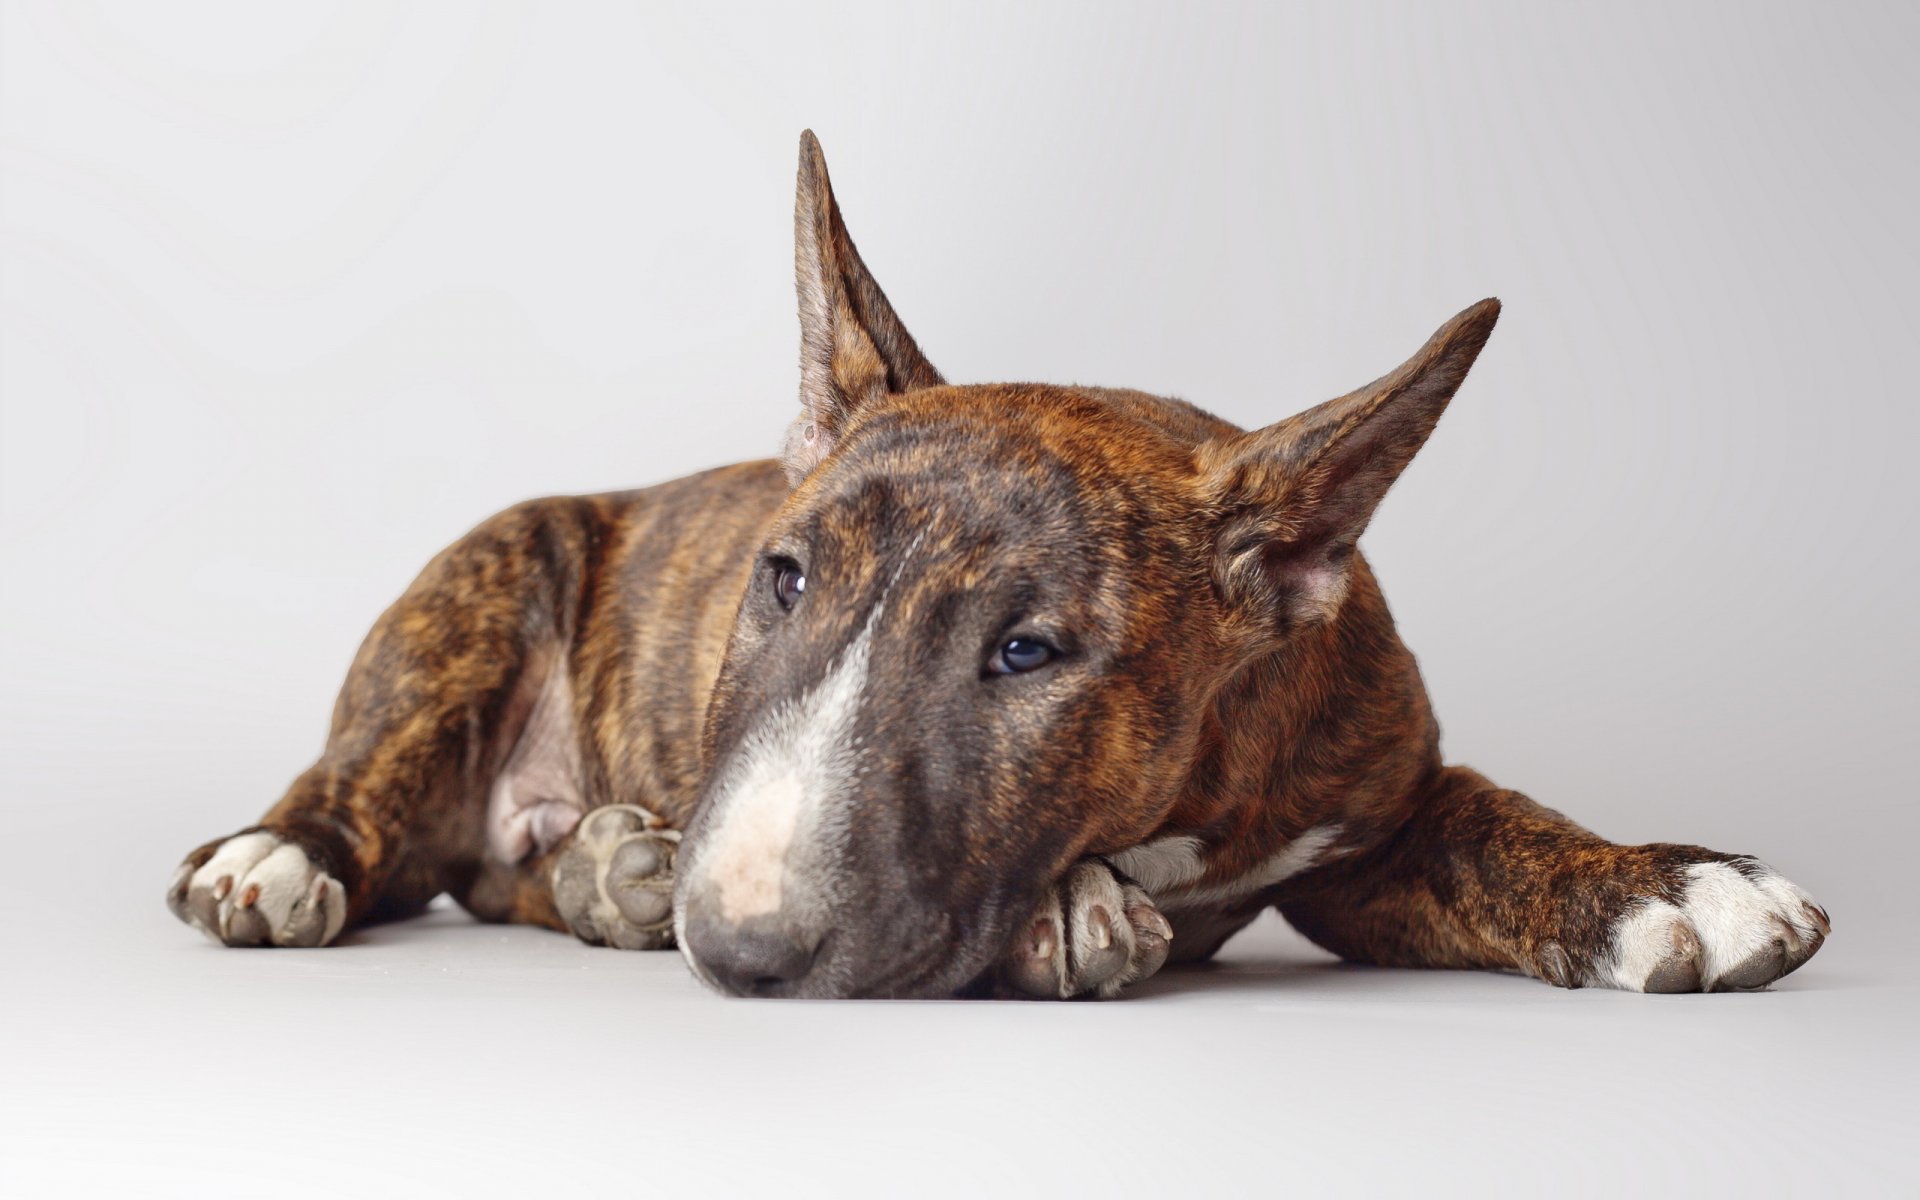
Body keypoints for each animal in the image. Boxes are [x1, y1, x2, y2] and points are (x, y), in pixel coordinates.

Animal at [165, 130, 1827, 998]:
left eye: (1028, 654)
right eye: (781, 578)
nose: (737, 946)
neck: (1185, 809)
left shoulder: (1373, 817)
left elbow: (1496, 828)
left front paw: (1666, 886)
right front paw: (1074, 915)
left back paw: (610, 872)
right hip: (482, 584)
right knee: (366, 788)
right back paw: (287, 859)